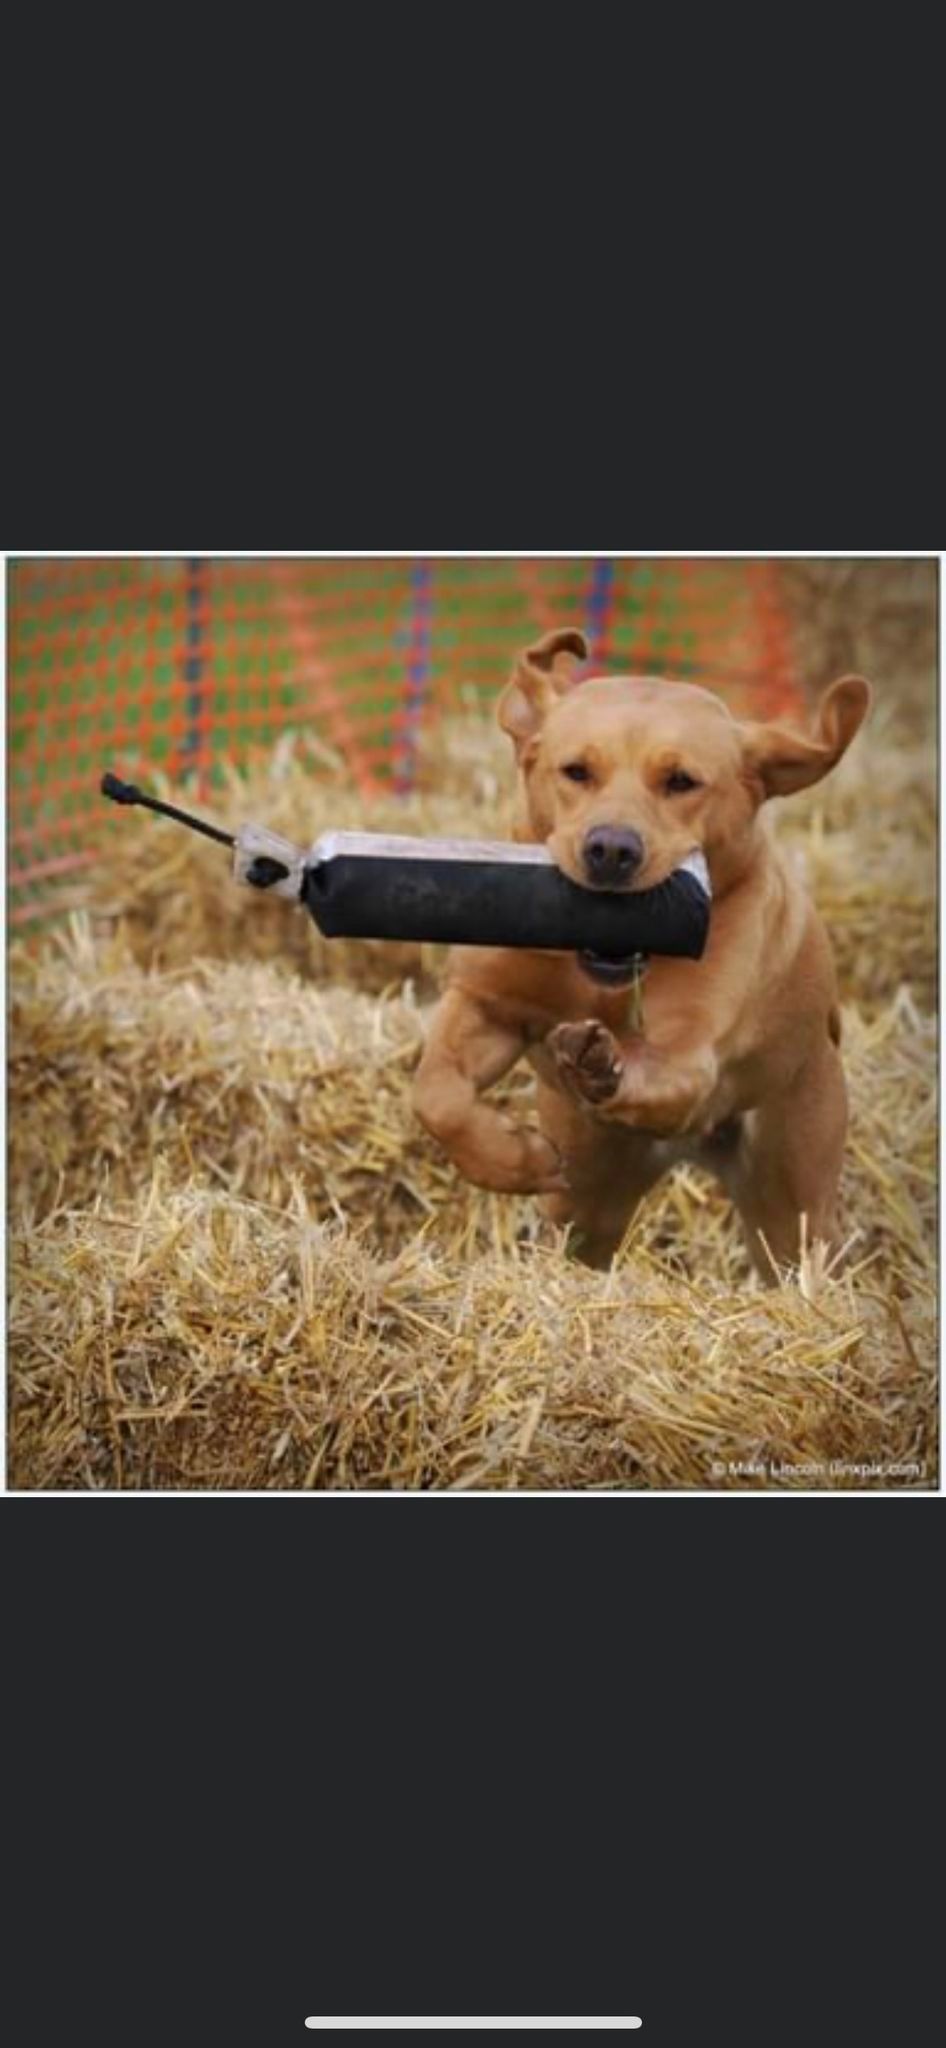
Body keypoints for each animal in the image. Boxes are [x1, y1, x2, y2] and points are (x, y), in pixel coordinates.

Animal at [413, 622, 872, 1277]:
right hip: (592, 1192)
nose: (611, 849)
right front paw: (516, 1158)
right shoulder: (486, 1000)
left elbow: (660, 1069)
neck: (597, 973)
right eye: (576, 771)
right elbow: (437, 1094)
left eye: (681, 781)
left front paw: (597, 1064)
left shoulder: (691, 1050)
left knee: (800, 1248)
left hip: (793, 1179)